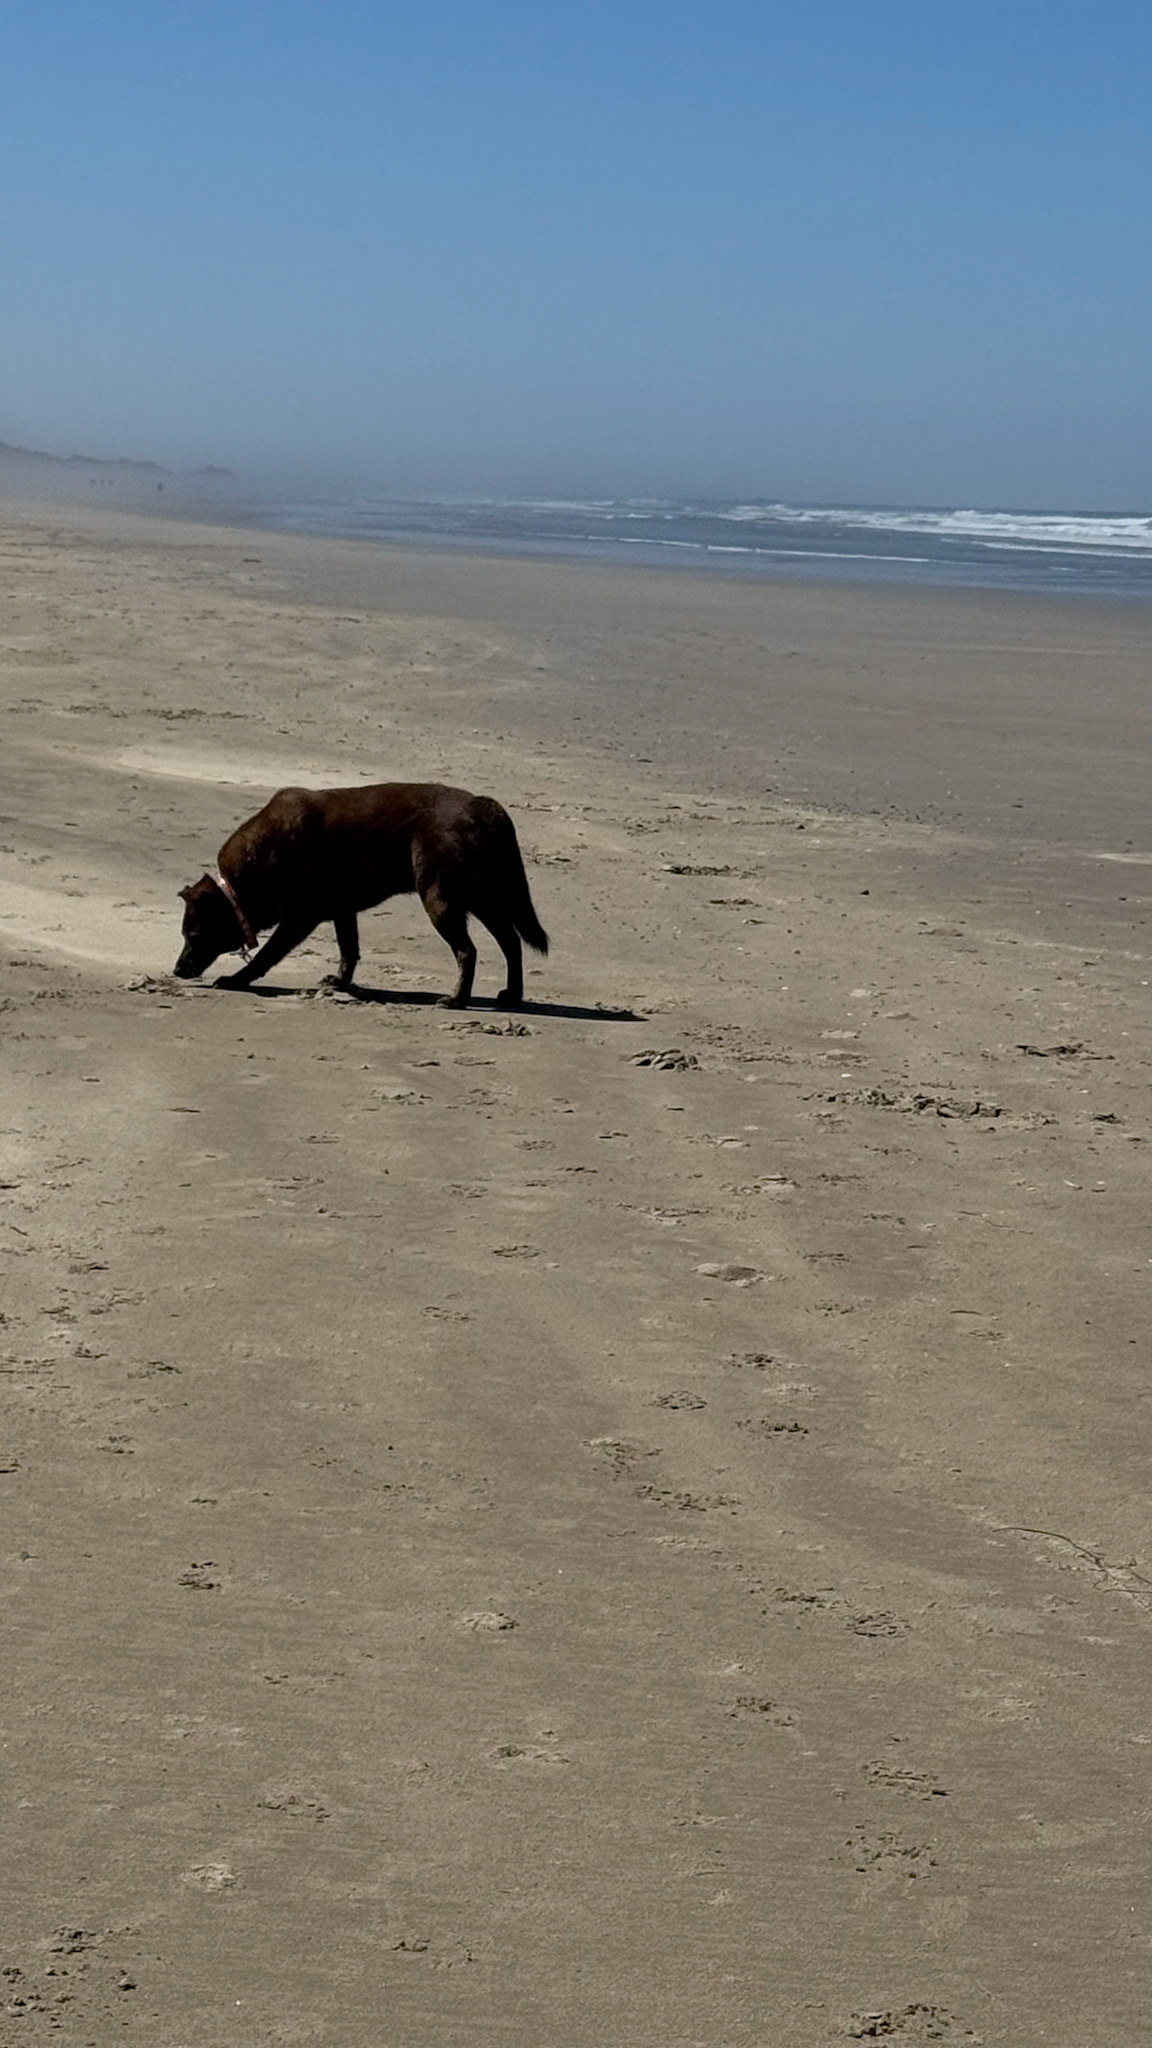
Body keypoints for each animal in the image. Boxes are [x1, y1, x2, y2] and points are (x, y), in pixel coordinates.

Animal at [174, 781, 549, 1008]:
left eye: (194, 935)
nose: (177, 970)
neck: (242, 887)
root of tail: (483, 808)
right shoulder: (342, 911)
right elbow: (349, 949)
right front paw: (340, 982)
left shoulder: (299, 919)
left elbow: (266, 956)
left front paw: (236, 980)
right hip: (487, 897)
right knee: (511, 943)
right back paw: (512, 995)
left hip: (441, 900)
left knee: (468, 951)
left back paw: (456, 999)